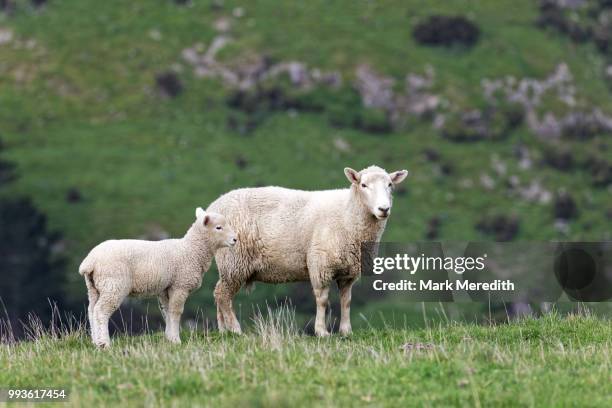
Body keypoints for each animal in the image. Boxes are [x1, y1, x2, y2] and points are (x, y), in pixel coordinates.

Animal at [79, 207, 237, 348]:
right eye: (218, 227)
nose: (235, 239)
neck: (191, 250)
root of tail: (90, 261)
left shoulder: (165, 289)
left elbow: (167, 312)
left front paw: (169, 338)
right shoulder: (180, 286)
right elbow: (175, 312)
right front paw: (176, 340)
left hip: (94, 287)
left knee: (91, 311)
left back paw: (95, 341)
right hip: (113, 284)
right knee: (101, 311)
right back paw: (104, 344)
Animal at [208, 164, 408, 336]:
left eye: (390, 185)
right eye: (363, 185)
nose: (383, 209)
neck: (347, 215)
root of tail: (213, 207)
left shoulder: (348, 271)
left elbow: (346, 301)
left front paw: (346, 331)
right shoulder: (321, 264)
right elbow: (322, 300)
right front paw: (322, 332)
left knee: (219, 293)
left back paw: (223, 331)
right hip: (234, 260)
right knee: (223, 295)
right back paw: (235, 329)